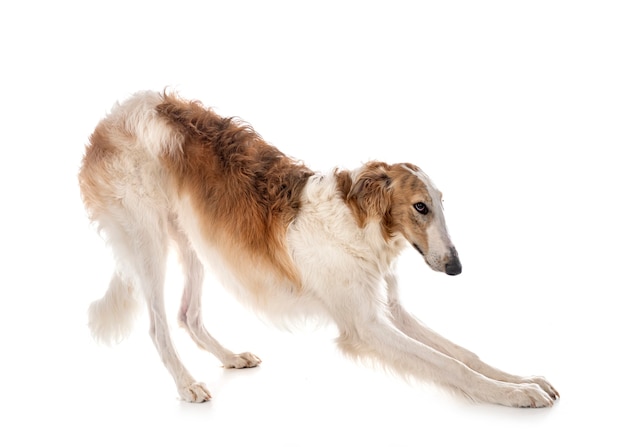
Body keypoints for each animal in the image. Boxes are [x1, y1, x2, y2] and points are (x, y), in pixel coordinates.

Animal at [79, 89, 556, 408]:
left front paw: (525, 379)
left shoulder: (391, 309)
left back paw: (231, 357)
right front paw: (516, 395)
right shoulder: (364, 324)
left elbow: (464, 353)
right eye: (420, 207)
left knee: (187, 316)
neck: (359, 223)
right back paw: (187, 384)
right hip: (147, 241)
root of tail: (113, 115)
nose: (456, 267)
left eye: (440, 203)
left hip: (194, 240)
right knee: (158, 325)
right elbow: (452, 366)